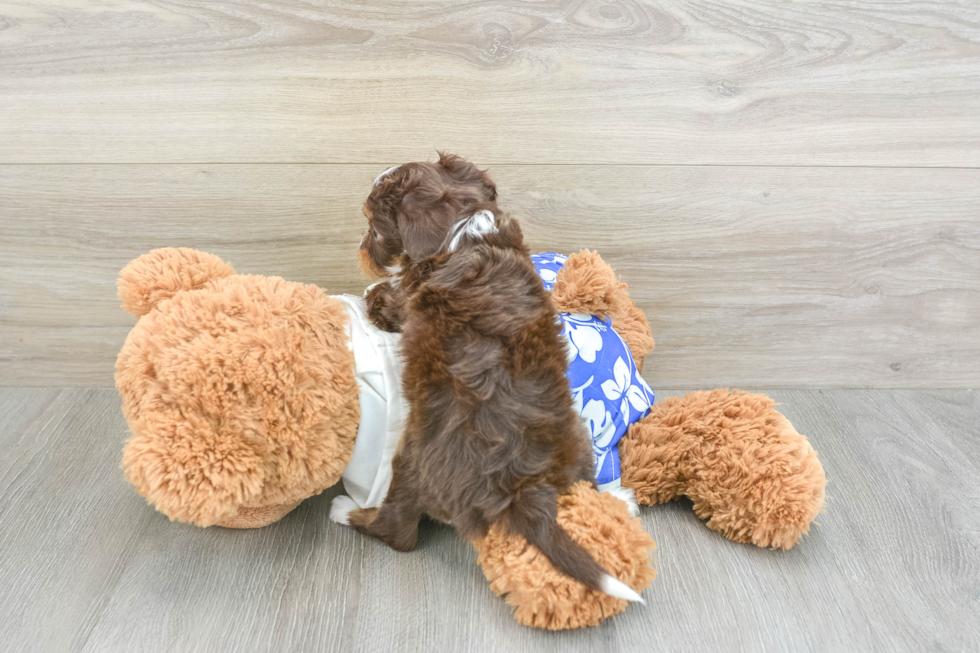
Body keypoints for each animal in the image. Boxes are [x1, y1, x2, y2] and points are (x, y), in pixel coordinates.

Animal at [336, 205, 644, 600]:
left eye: (375, 231)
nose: (362, 247)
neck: (474, 233)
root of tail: (521, 490)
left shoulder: (415, 295)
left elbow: (395, 300)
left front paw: (375, 295)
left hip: (410, 465)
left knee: (399, 531)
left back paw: (346, 511)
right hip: (577, 440)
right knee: (585, 486)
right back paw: (618, 499)